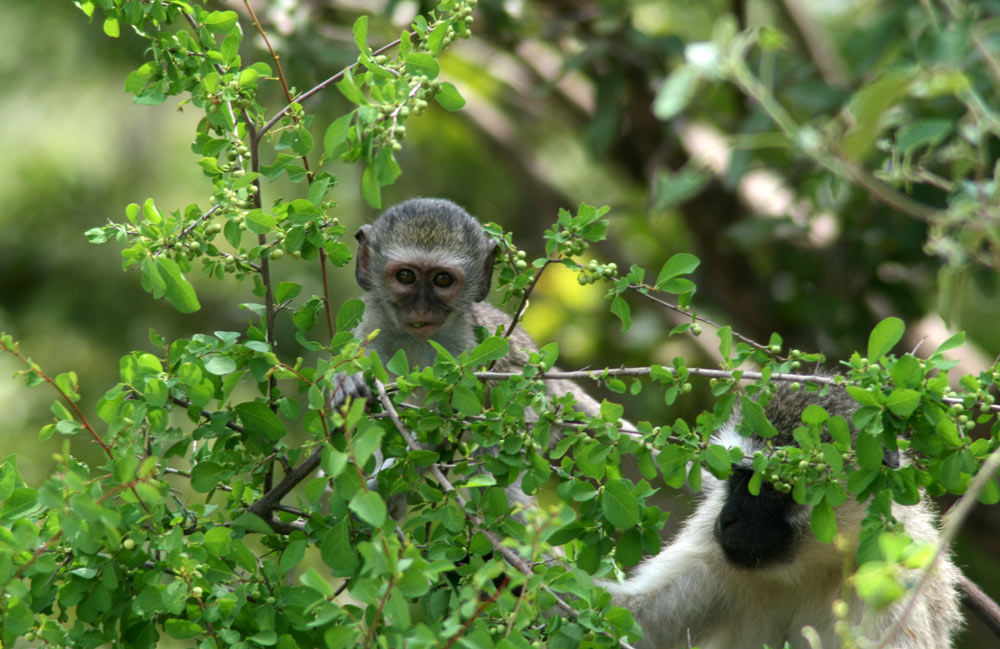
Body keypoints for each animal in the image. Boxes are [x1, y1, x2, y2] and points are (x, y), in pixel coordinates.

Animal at [596, 384, 964, 648]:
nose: (728, 520)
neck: (813, 566)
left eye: (774, 487)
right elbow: (637, 621)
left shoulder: (897, 586)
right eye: (740, 476)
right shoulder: (710, 542)